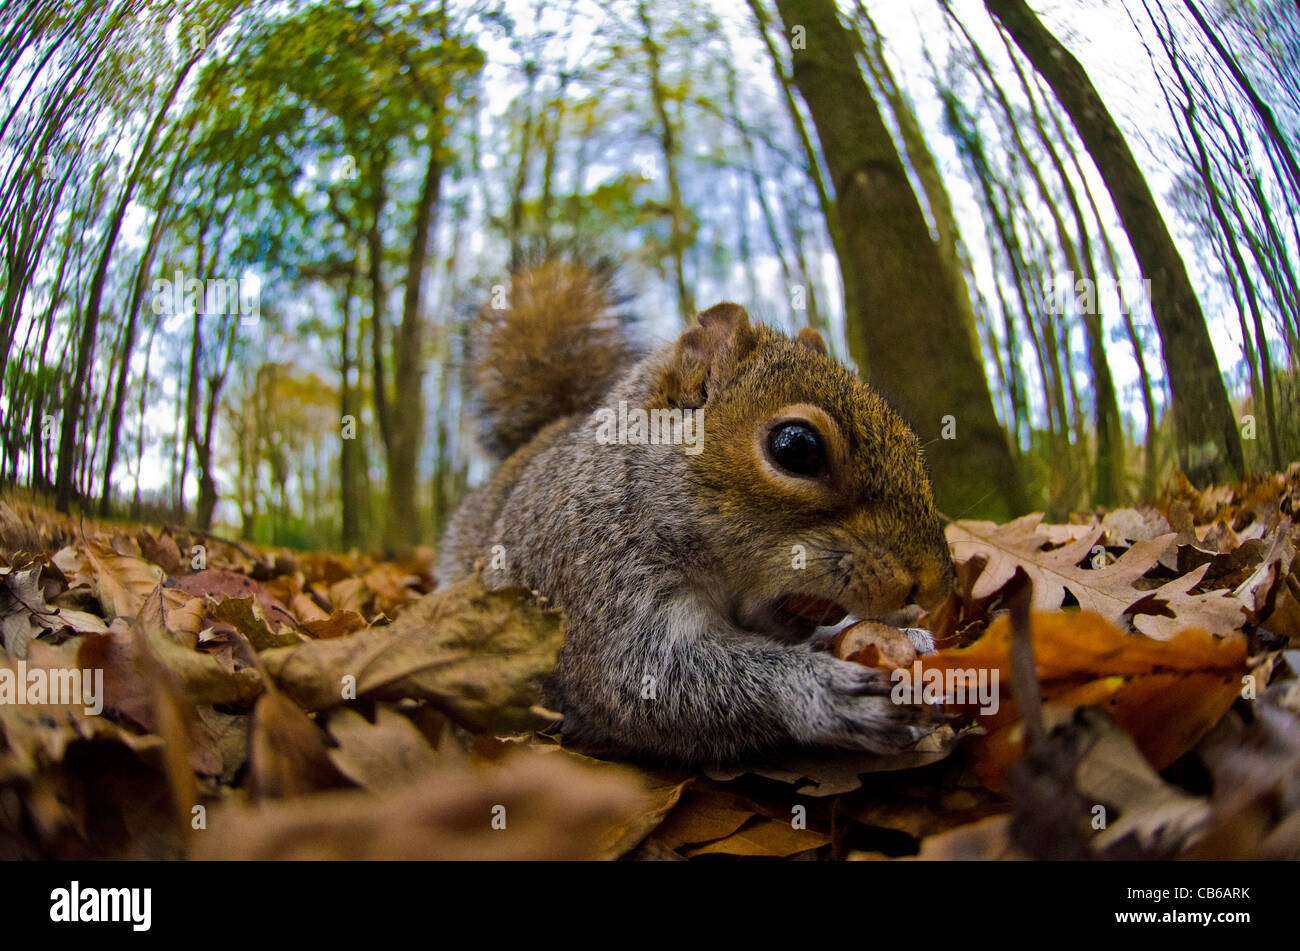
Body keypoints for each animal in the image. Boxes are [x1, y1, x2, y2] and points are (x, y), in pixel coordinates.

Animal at [439, 262, 956, 763]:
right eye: (797, 447)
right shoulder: (595, 577)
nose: (935, 587)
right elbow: (643, 680)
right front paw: (823, 689)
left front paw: (907, 635)